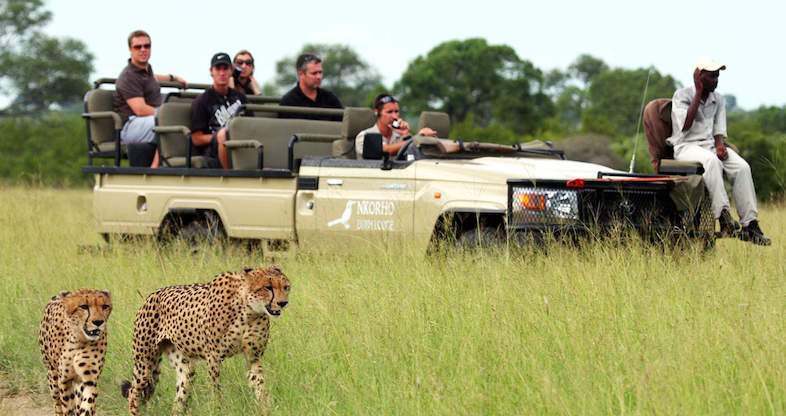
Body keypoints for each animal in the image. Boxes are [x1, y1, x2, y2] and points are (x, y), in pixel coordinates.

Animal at [122, 264, 290, 414]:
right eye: (268, 287)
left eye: (286, 287)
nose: (283, 303)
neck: (249, 311)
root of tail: (152, 295)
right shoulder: (213, 356)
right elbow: (215, 388)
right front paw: (218, 409)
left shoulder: (253, 357)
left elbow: (260, 385)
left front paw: (265, 409)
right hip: (144, 363)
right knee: (133, 393)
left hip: (185, 369)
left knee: (179, 399)